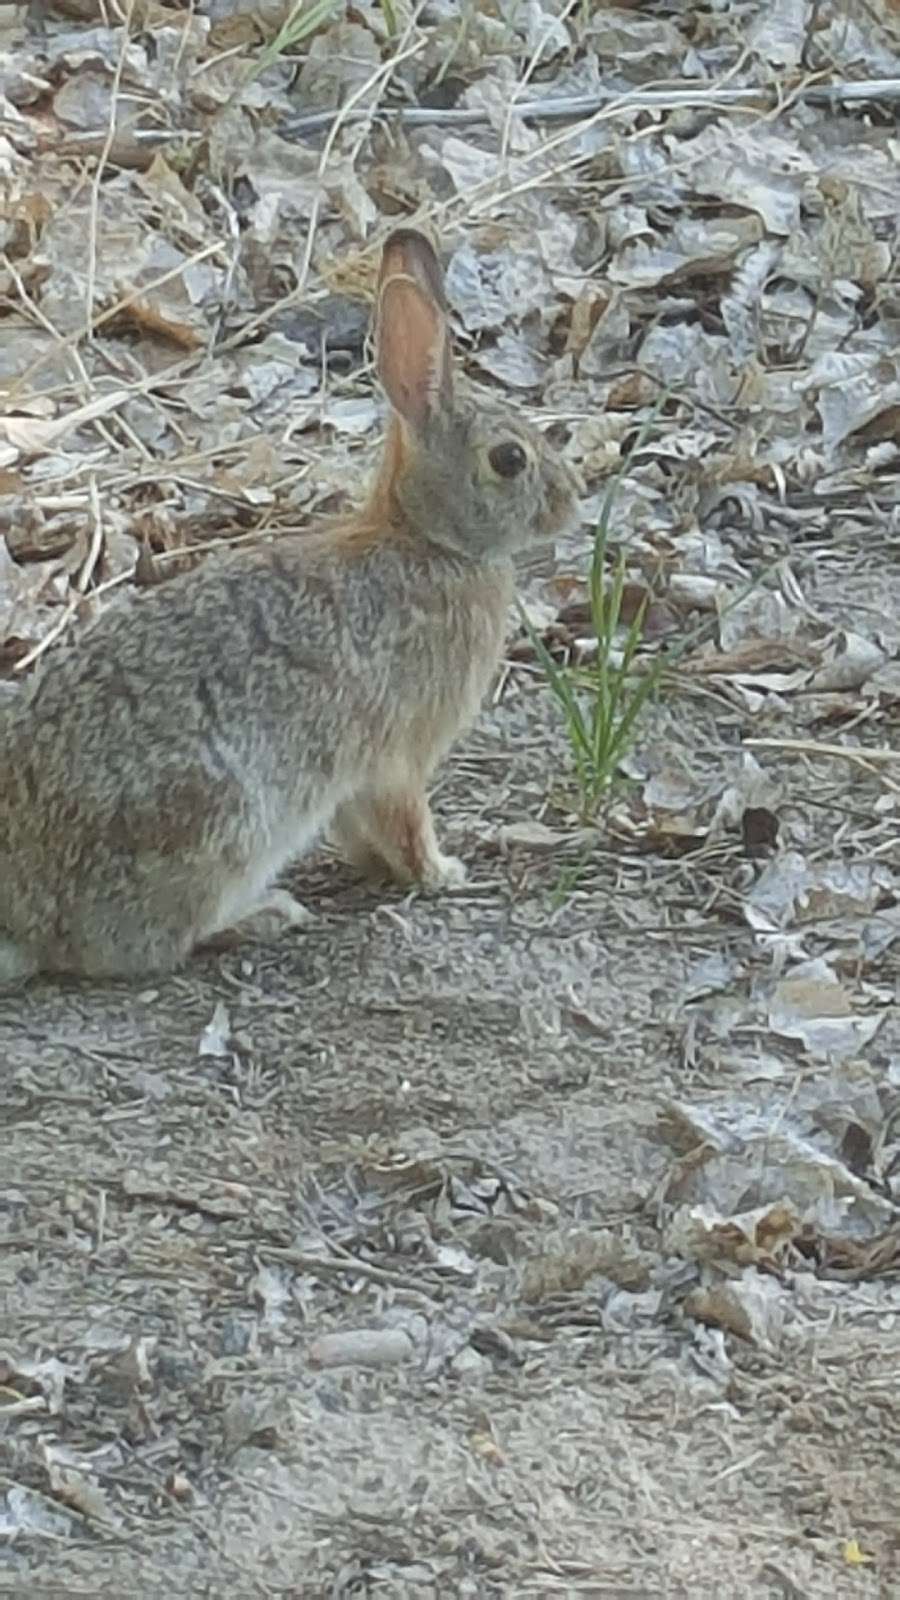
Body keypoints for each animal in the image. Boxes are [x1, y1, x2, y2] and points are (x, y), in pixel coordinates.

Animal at [0, 230, 573, 979]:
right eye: (509, 460)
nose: (571, 501)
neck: (427, 538)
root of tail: (31, 918)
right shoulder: (399, 755)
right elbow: (407, 820)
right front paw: (441, 873)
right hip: (218, 822)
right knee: (153, 942)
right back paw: (266, 915)